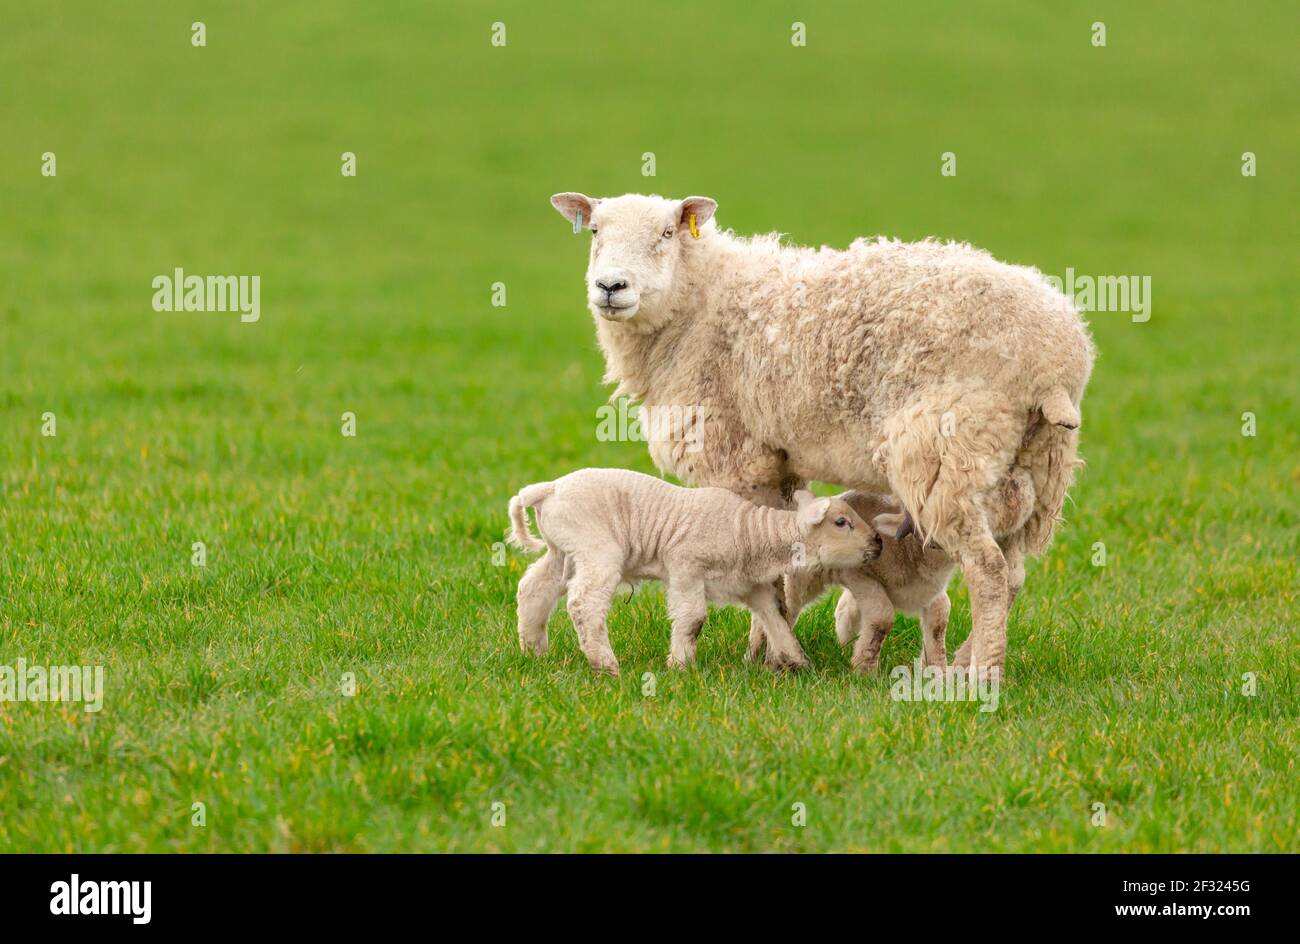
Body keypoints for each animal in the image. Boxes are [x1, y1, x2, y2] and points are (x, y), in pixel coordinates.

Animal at [507, 468, 880, 675]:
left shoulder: (751, 586)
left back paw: (534, 650)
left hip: (563, 550)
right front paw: (680, 665)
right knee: (584, 603)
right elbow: (693, 619)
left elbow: (776, 618)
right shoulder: (685, 565)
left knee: (533, 588)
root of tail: (548, 489)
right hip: (595, 547)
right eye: (841, 522)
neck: (749, 532)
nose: (877, 541)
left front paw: (797, 663)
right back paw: (605, 664)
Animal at [768, 467, 1036, 674]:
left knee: (844, 608)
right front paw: (864, 670)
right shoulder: (859, 575)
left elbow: (939, 622)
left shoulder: (930, 593)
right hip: (807, 576)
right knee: (790, 603)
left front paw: (937, 673)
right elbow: (882, 617)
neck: (914, 552)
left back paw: (844, 640)